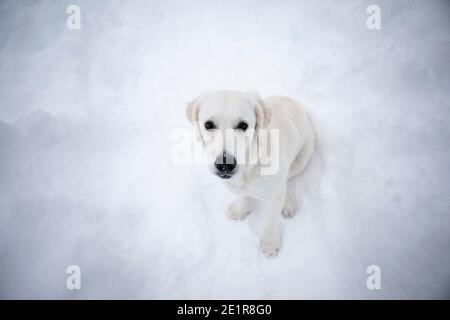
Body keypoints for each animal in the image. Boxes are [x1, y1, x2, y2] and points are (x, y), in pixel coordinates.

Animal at [185, 90, 314, 258]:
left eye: (243, 125)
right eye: (208, 124)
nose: (225, 164)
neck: (250, 166)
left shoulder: (274, 196)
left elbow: (270, 220)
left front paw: (270, 243)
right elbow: (243, 196)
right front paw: (241, 209)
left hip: (304, 154)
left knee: (289, 179)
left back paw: (288, 202)